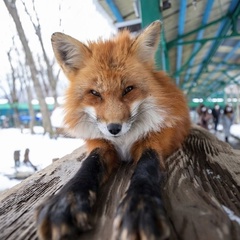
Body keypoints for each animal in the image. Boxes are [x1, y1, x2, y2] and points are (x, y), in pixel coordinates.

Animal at [36, 20, 189, 240]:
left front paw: (140, 206)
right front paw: (65, 202)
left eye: (128, 89)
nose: (114, 128)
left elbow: (146, 166)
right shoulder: (101, 144)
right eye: (95, 93)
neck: (122, 142)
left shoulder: (157, 139)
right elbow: (88, 165)